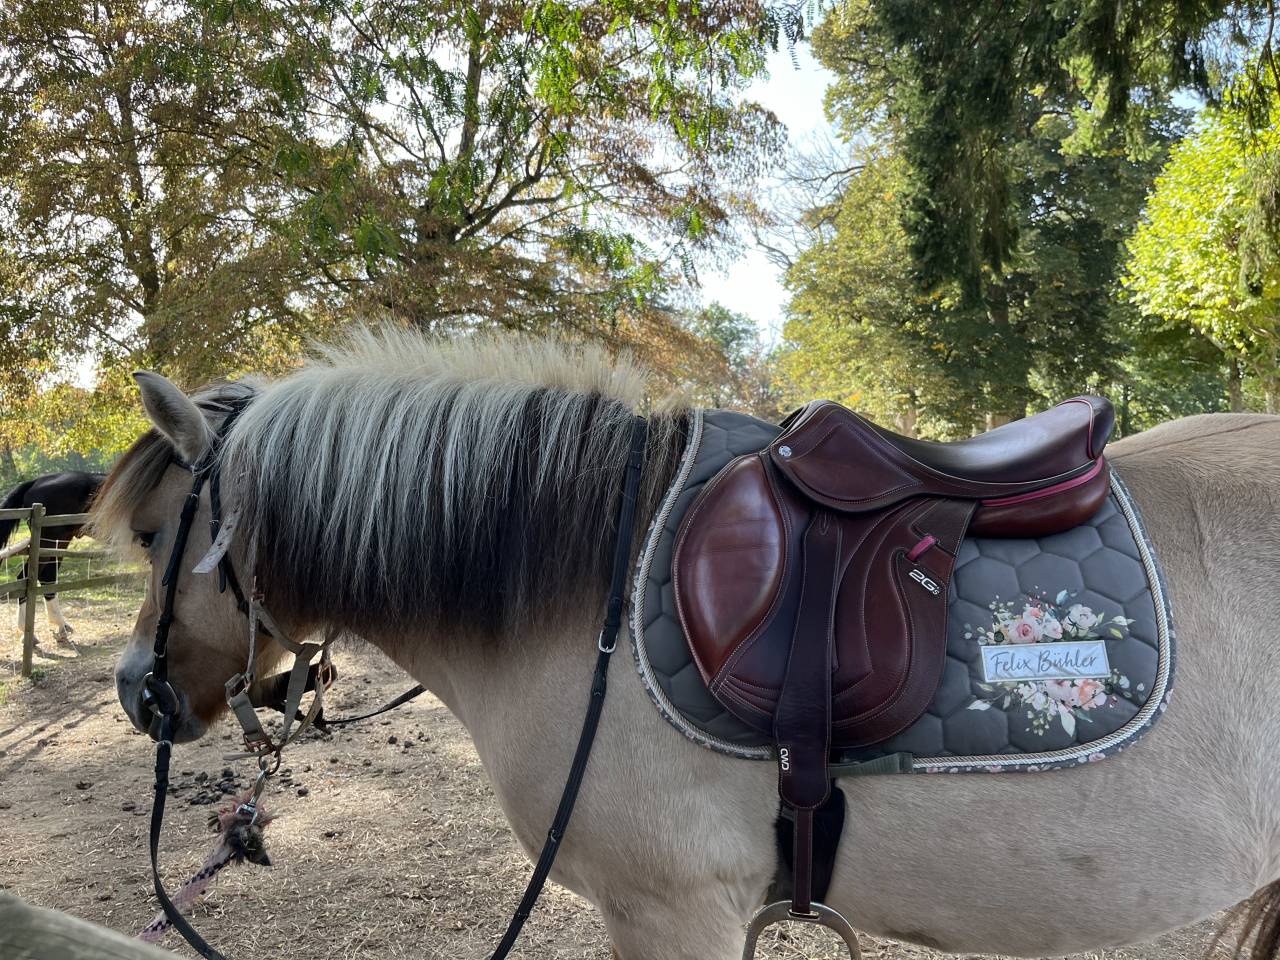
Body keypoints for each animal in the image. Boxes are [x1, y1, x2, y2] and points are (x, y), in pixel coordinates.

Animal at [2, 471, 104, 643]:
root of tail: (36, 481)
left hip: (59, 543)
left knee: (48, 579)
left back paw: (60, 627)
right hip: (48, 543)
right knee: (27, 577)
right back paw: (28, 633)